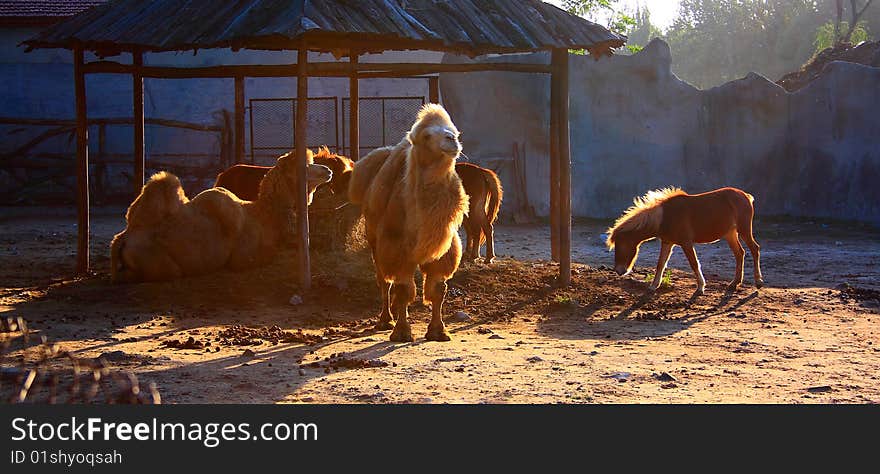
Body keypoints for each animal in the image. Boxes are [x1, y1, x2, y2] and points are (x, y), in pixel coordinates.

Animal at [109, 149, 330, 282]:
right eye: (304, 167)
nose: (327, 170)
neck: (265, 216)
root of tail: (123, 238)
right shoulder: (243, 258)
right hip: (161, 263)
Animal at [604, 186, 764, 294]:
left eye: (621, 245)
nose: (618, 270)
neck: (664, 217)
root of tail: (746, 196)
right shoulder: (667, 242)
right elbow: (660, 264)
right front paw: (653, 286)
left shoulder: (686, 243)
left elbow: (694, 263)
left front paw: (701, 287)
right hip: (730, 234)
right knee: (740, 253)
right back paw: (734, 283)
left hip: (744, 230)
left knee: (754, 249)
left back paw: (758, 282)